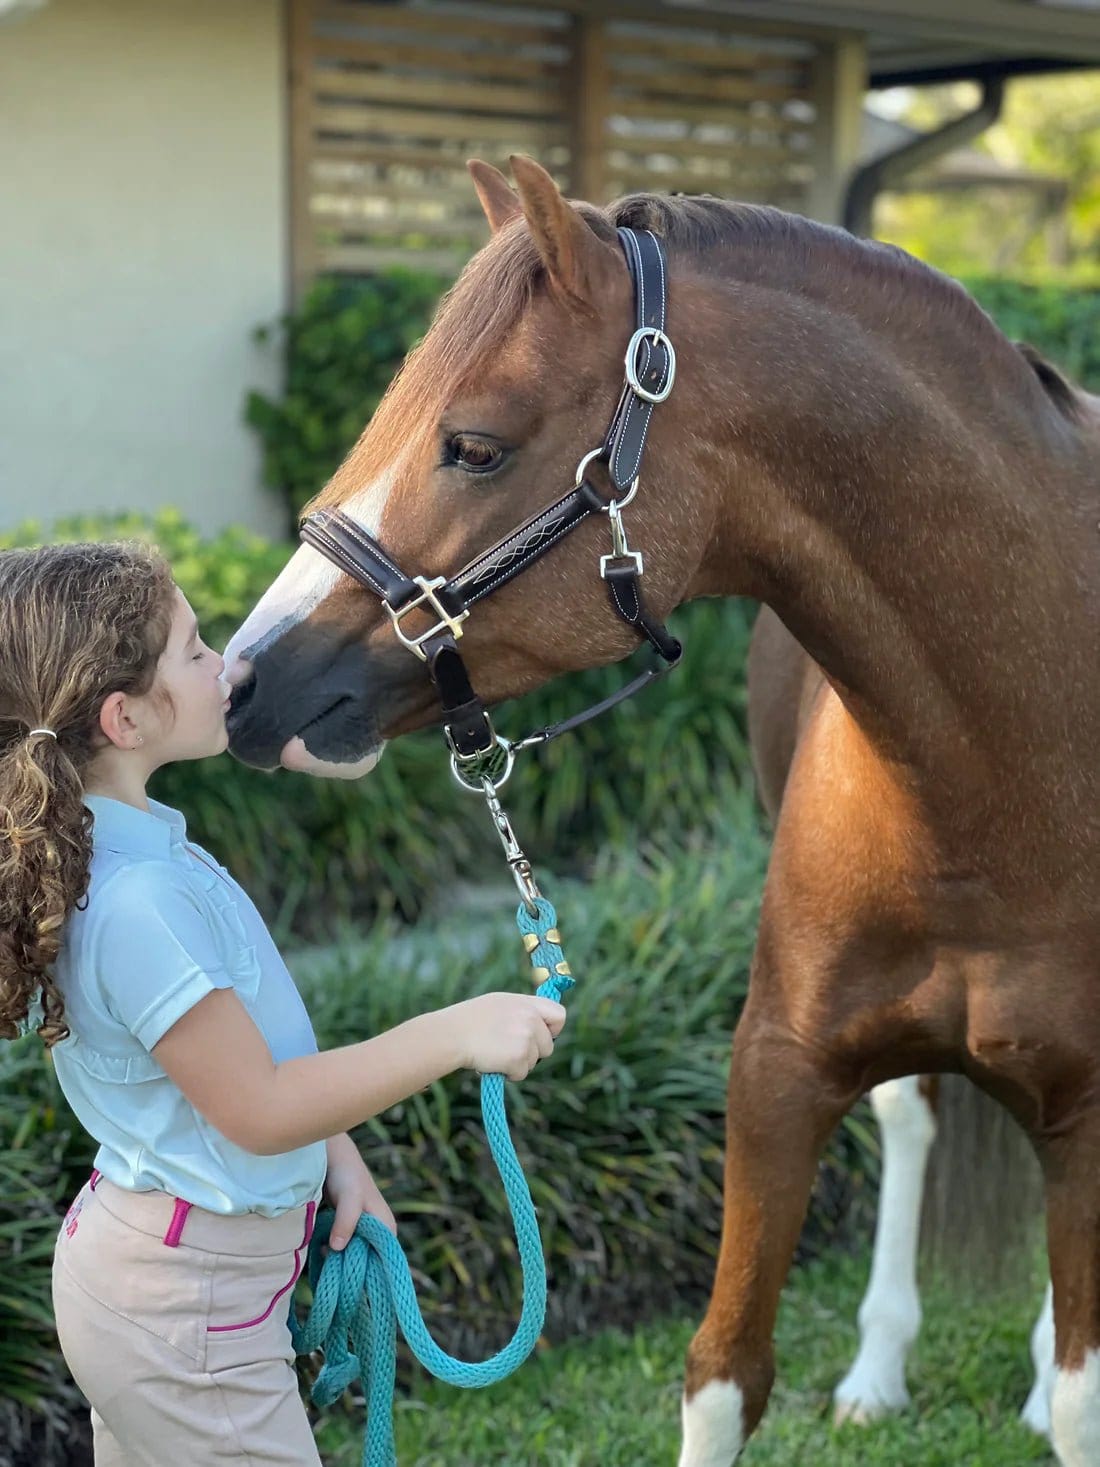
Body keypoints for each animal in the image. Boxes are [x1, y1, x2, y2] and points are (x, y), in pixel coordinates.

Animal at [222, 156, 1100, 1466]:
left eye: (472, 446)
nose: (243, 683)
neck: (1018, 767)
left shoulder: (1087, 1108)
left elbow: (1089, 1399)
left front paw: (1057, 1382)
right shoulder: (773, 1073)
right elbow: (723, 1372)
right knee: (911, 1118)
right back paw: (880, 1367)